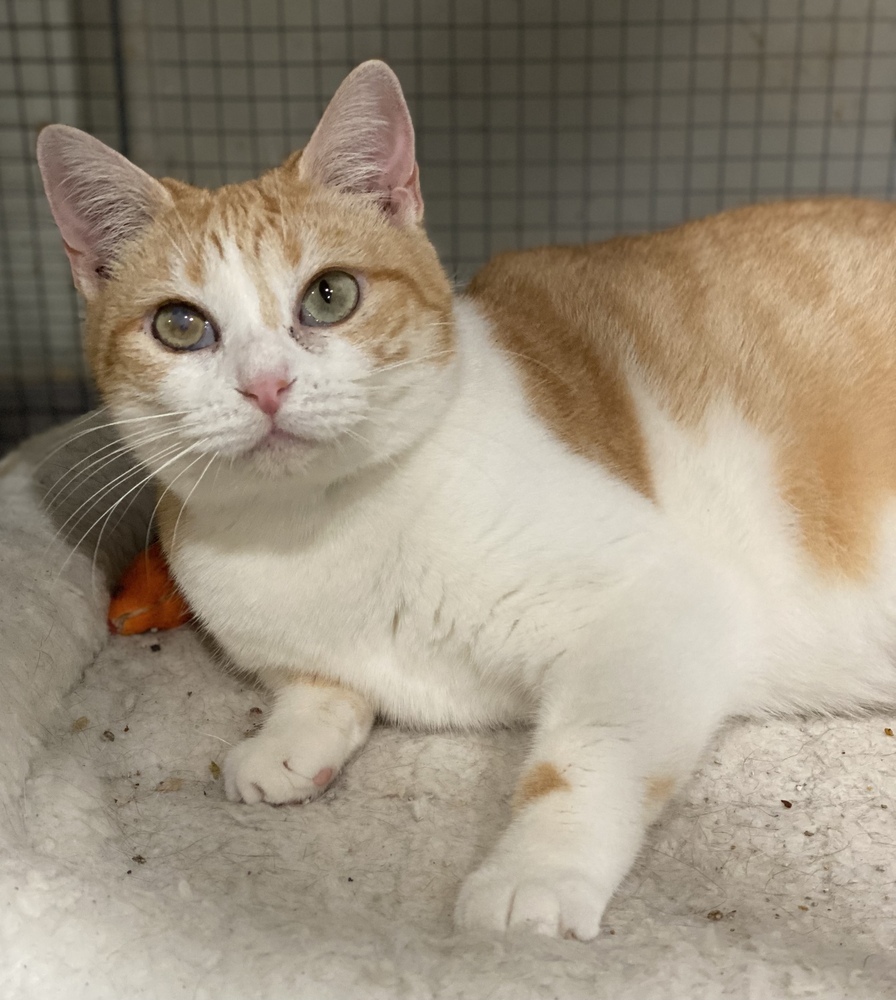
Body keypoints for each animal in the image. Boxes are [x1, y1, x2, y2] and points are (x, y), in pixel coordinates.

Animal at [35, 60, 896, 936]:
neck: (318, 531)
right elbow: (317, 682)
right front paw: (293, 735)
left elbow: (584, 756)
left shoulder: (663, 600)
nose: (266, 385)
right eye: (180, 325)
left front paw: (535, 873)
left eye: (329, 295)